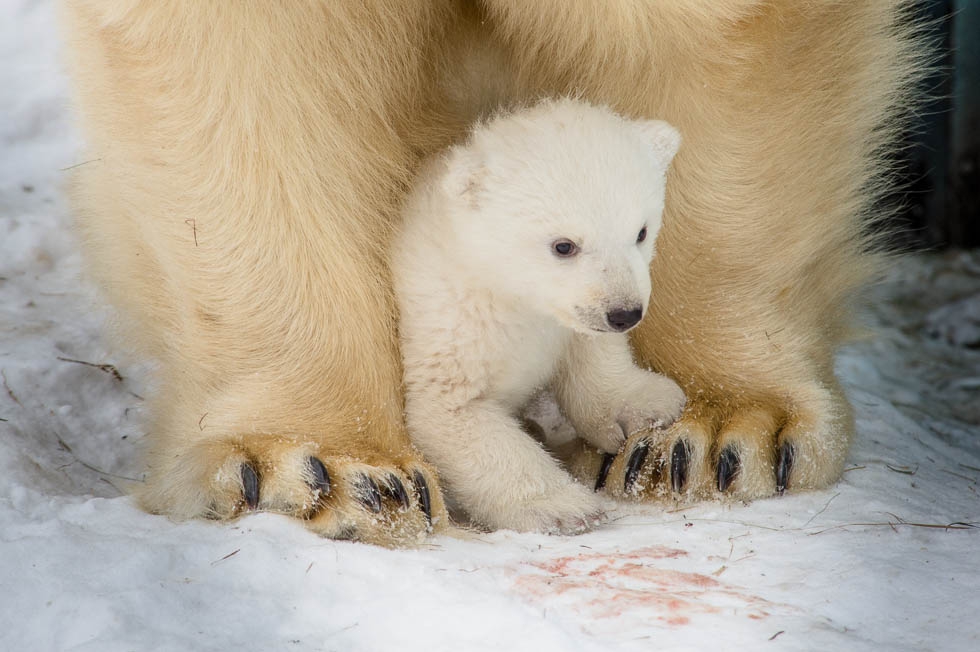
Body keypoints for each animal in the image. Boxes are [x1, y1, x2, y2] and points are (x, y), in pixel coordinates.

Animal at [61, 2, 920, 544]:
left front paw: (713, 432)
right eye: (561, 245)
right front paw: (323, 469)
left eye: (643, 230)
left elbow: (717, 36)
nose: (623, 311)